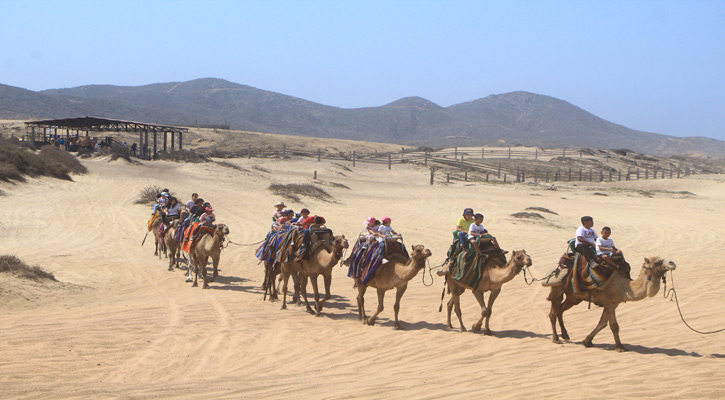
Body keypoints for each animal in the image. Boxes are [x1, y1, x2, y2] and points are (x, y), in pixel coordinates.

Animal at [548, 255, 680, 352]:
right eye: (657, 262)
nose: (672, 263)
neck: (624, 287)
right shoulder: (609, 302)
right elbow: (614, 325)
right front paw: (620, 347)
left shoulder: (613, 303)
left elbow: (602, 323)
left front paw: (587, 341)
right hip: (557, 288)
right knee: (553, 312)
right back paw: (556, 339)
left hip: (574, 298)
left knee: (560, 310)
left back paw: (565, 334)